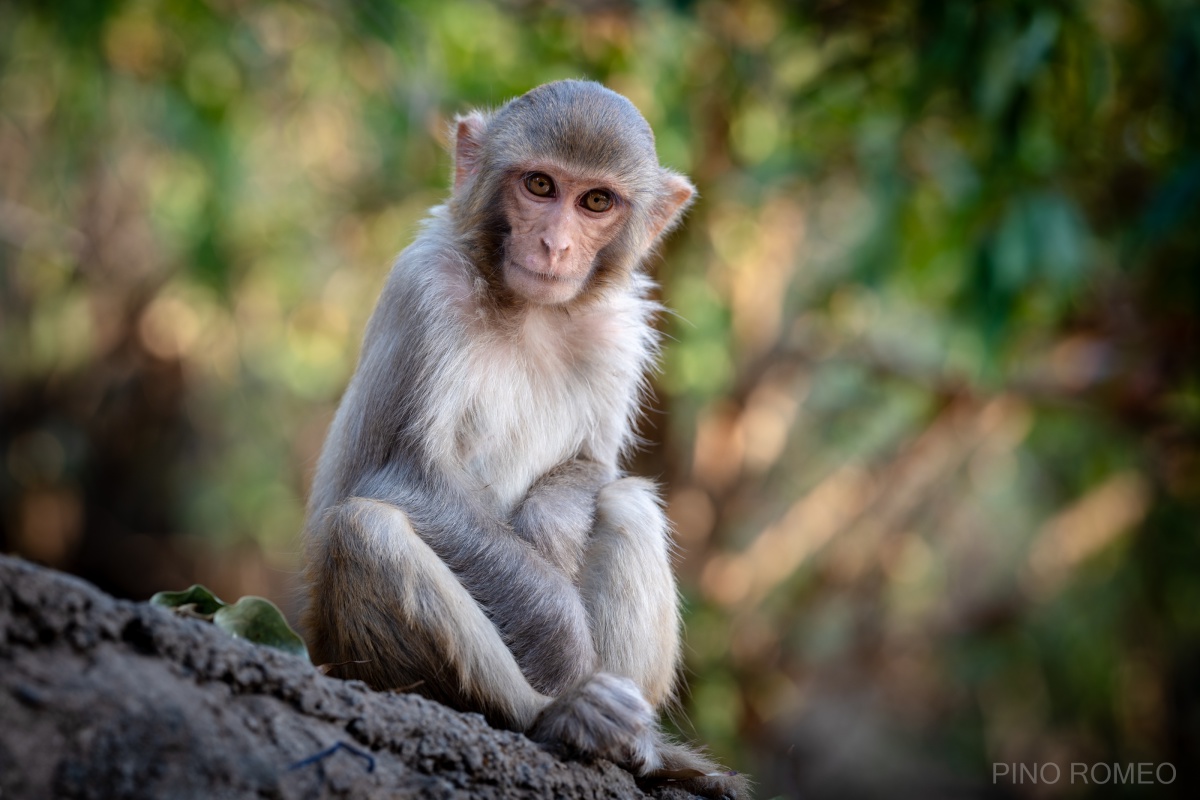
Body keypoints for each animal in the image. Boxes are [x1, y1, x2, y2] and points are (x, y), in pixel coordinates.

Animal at [300, 77, 744, 796]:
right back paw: (557, 715)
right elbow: (405, 479)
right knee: (365, 530)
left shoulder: (619, 330)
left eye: (595, 201)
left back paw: (640, 749)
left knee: (627, 503)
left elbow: (594, 465)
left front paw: (550, 526)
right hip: (343, 653)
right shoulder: (427, 290)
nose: (555, 245)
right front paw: (565, 648)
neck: (530, 311)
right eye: (539, 185)